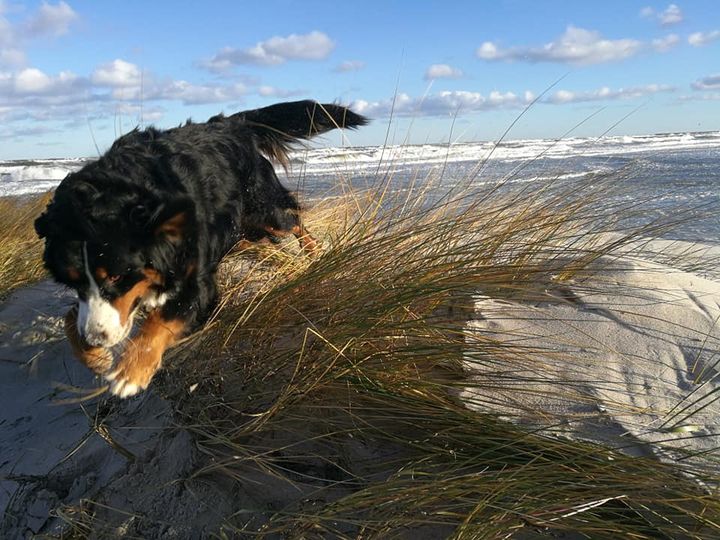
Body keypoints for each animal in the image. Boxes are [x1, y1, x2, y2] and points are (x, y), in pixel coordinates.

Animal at [34, 100, 368, 396]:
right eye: (71, 281)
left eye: (117, 276)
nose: (96, 338)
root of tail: (231, 123)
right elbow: (71, 319)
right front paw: (94, 356)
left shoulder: (197, 281)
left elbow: (162, 320)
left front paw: (132, 370)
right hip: (243, 228)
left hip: (262, 210)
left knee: (293, 220)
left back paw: (315, 251)